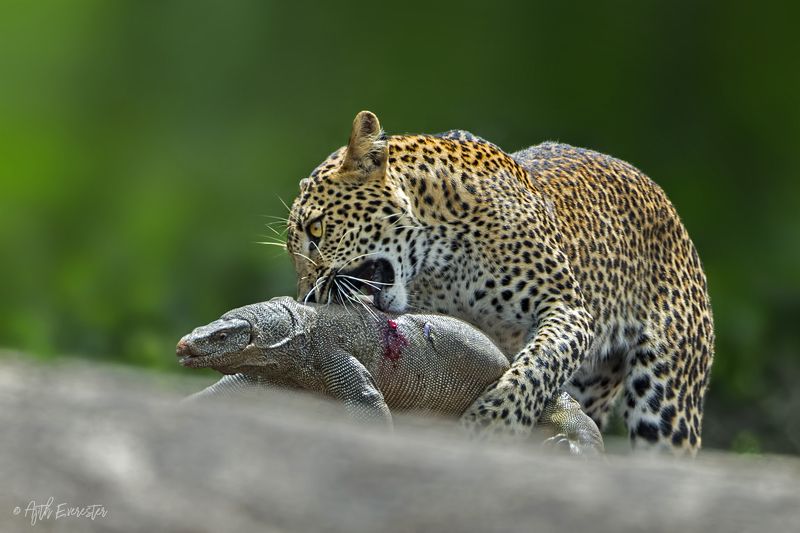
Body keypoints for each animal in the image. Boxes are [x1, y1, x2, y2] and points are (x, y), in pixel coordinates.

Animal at [286, 110, 714, 455]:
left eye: (317, 229)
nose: (307, 296)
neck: (439, 258)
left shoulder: (567, 309)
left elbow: (536, 366)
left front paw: (490, 426)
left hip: (666, 401)